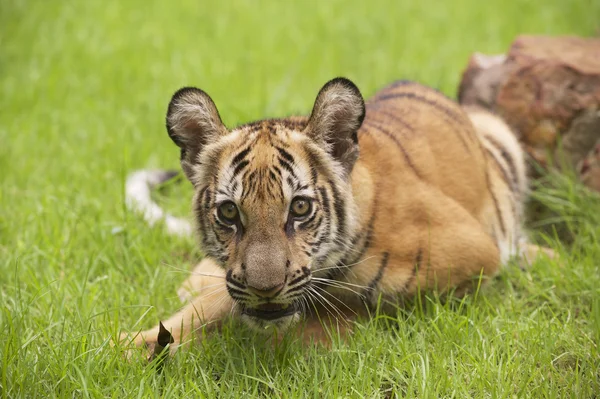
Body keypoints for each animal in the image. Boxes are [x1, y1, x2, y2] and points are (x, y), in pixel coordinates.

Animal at [120, 77, 548, 354]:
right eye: (229, 212)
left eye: (300, 207)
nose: (265, 289)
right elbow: (202, 312)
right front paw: (127, 349)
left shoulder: (474, 255)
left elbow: (347, 312)